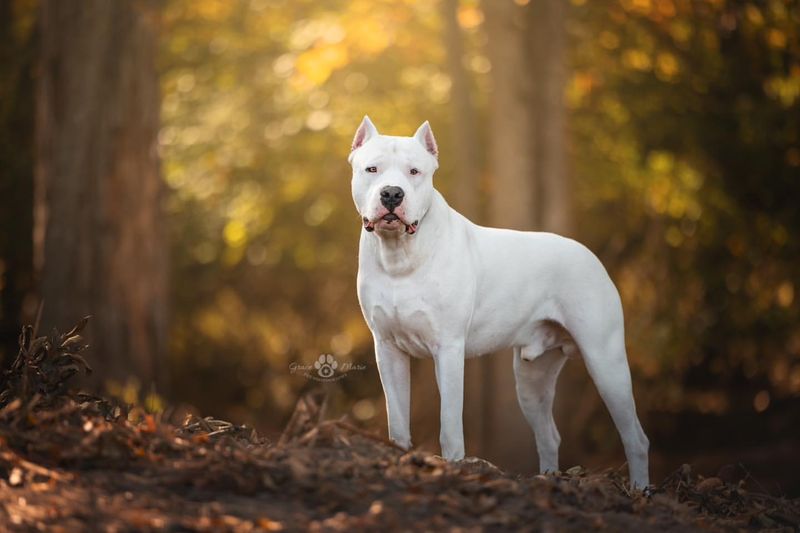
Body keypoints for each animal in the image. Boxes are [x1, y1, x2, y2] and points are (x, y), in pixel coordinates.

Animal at [350, 115, 648, 486]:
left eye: (414, 171)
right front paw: (400, 458)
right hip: (533, 376)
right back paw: (548, 479)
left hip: (605, 360)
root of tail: (590, 255)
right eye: (372, 169)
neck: (400, 255)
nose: (392, 193)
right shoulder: (388, 349)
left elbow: (450, 425)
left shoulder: (448, 349)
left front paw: (454, 467)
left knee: (635, 436)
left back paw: (640, 489)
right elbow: (397, 421)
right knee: (548, 434)